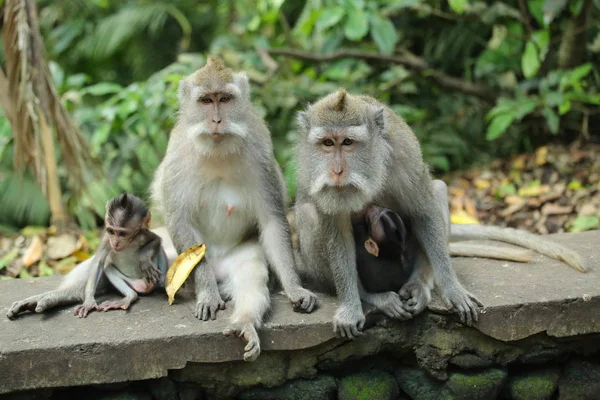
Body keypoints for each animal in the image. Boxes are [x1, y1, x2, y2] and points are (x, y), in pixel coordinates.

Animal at [5, 192, 168, 320]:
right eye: (111, 231)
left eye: (122, 233)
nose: (115, 242)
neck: (128, 243)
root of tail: (144, 286)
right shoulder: (106, 240)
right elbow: (98, 263)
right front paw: (89, 301)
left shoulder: (142, 234)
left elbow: (156, 240)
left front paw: (144, 260)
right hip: (133, 283)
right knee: (108, 268)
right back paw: (129, 297)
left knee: (159, 251)